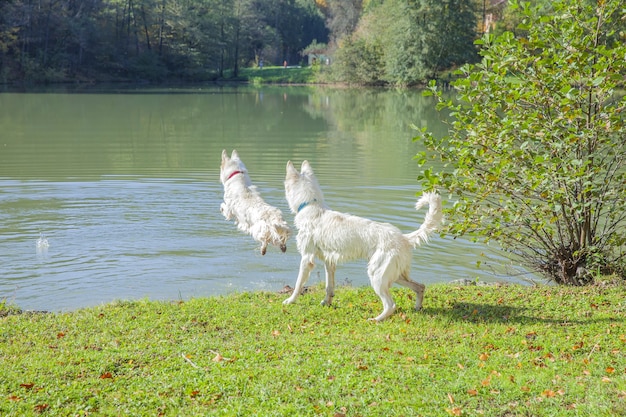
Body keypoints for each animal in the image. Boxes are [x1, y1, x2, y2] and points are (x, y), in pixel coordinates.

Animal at [280, 160, 442, 322]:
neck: (311, 206)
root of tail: (404, 238)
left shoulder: (306, 259)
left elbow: (298, 284)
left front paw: (290, 301)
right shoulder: (330, 262)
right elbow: (329, 286)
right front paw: (327, 302)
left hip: (377, 276)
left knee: (391, 305)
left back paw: (375, 320)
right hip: (395, 275)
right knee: (420, 287)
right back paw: (417, 308)